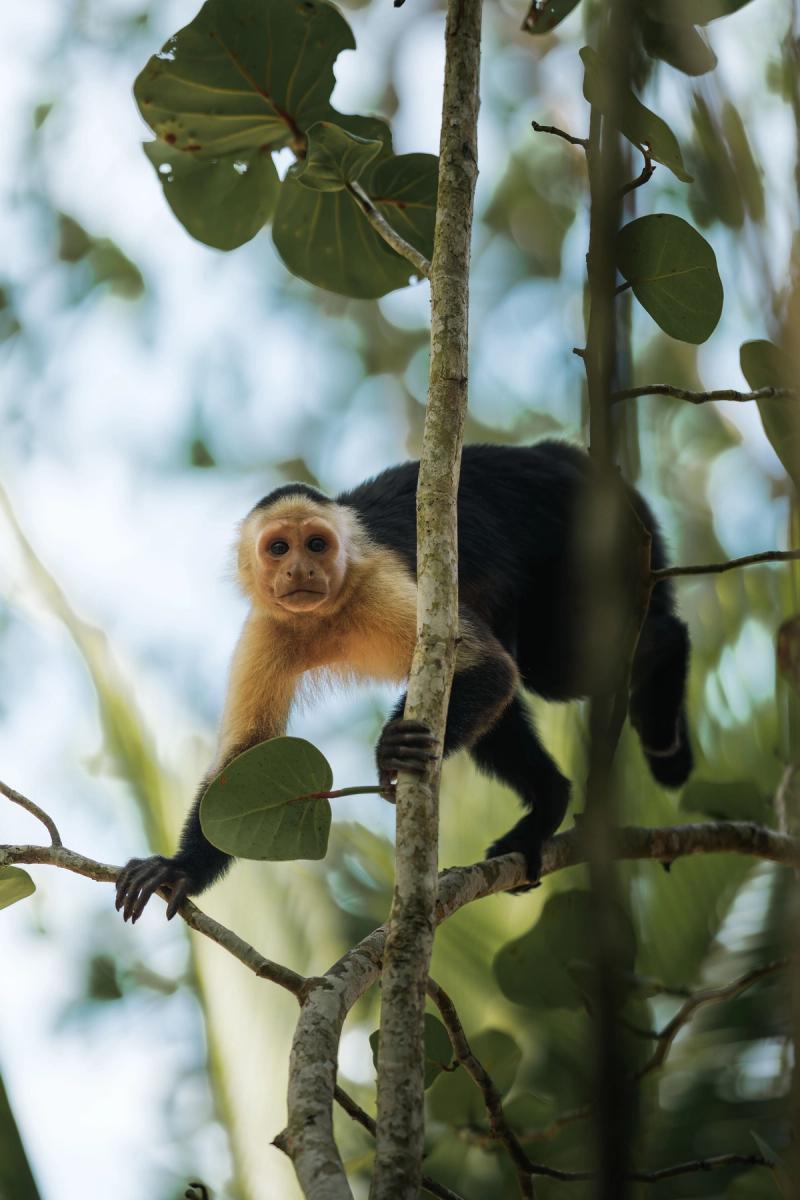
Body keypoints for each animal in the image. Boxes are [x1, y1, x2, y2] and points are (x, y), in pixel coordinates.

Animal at [115, 441, 693, 922]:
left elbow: (489, 666)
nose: (300, 570)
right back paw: (547, 806)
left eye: (316, 544)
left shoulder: (381, 583)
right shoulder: (267, 629)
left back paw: (667, 673)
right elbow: (244, 762)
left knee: (565, 668)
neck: (328, 614)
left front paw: (391, 753)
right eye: (279, 549)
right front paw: (180, 869)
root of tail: (549, 453)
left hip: (576, 531)